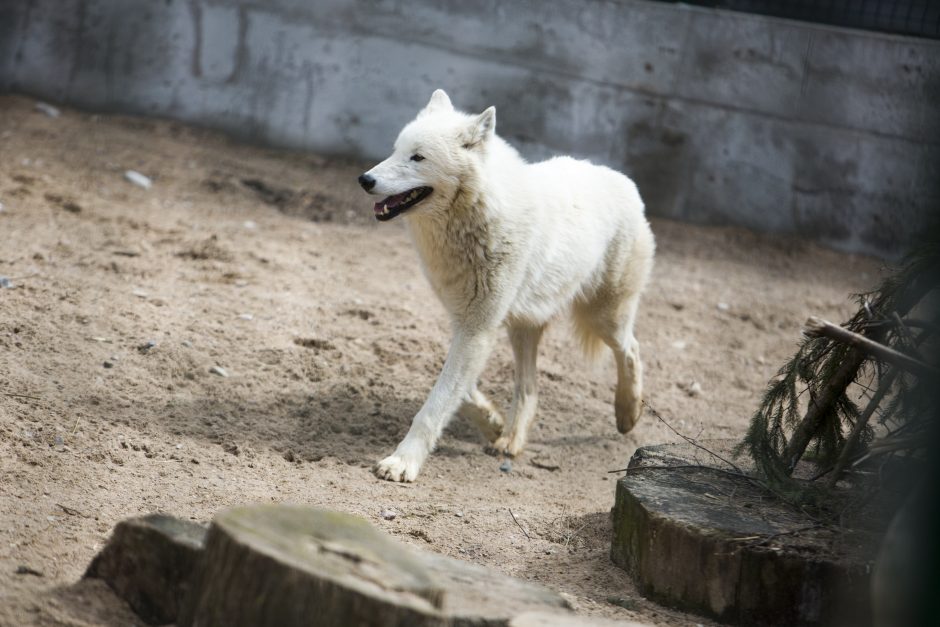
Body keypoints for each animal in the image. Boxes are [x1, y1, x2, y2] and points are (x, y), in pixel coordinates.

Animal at [360, 89, 652, 480]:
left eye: (417, 157)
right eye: (395, 150)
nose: (364, 179)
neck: (479, 215)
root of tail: (625, 181)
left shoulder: (477, 328)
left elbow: (436, 403)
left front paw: (402, 462)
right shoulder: (467, 323)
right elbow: (460, 390)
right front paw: (492, 422)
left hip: (603, 317)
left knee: (631, 349)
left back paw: (627, 414)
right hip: (523, 327)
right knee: (529, 386)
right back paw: (510, 439)